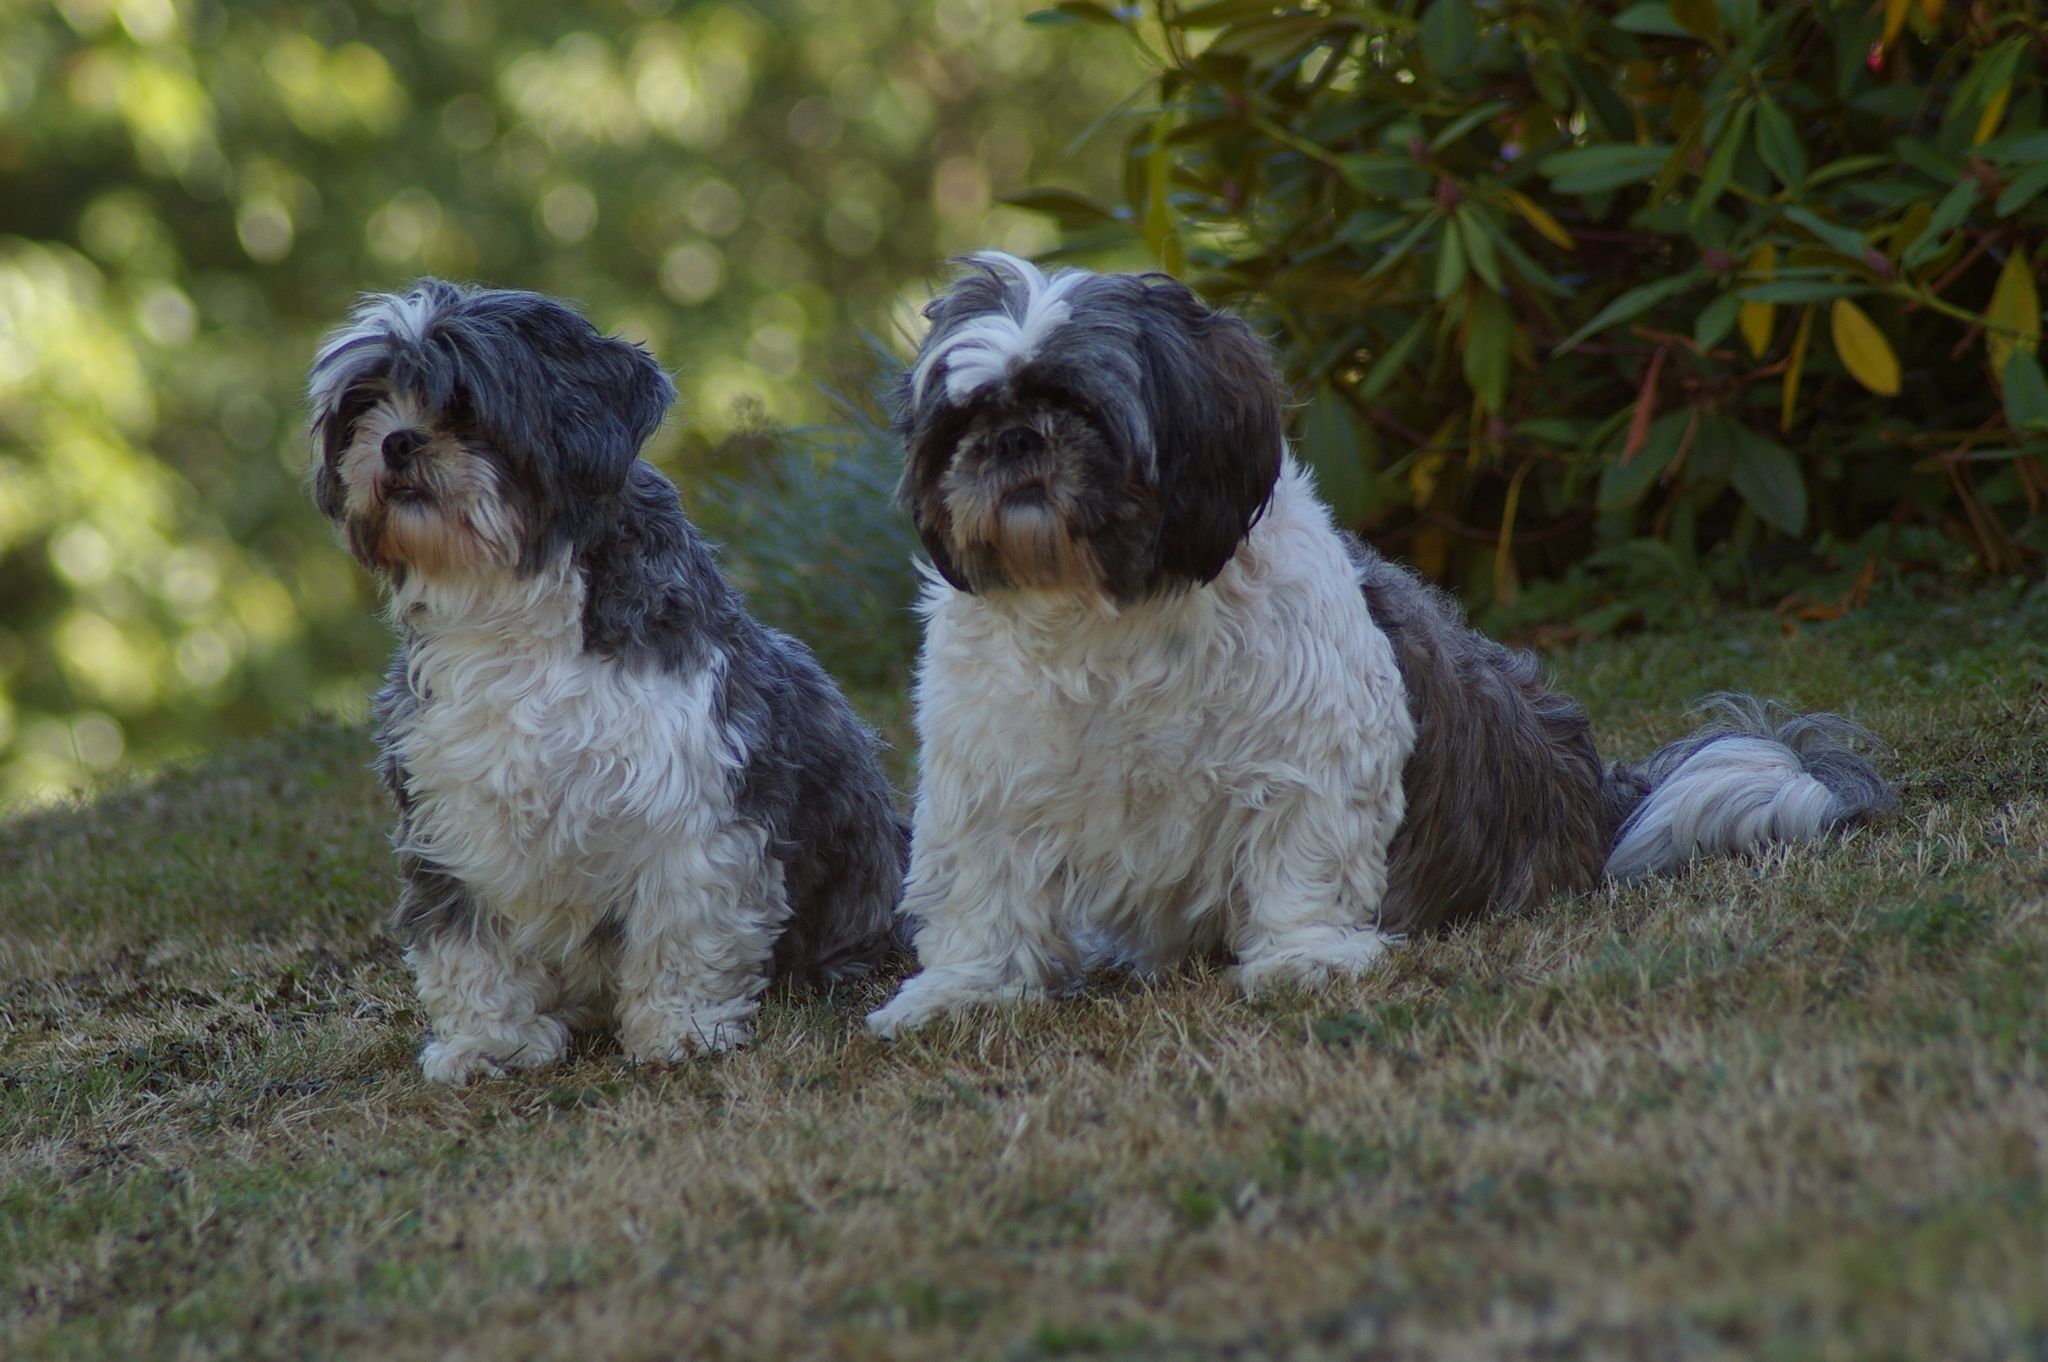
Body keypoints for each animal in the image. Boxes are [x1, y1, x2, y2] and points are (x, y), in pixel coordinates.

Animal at [307, 278, 901, 1081]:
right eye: (365, 405)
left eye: (466, 406)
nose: (399, 440)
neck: (514, 617)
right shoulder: (453, 821)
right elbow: (469, 946)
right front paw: (486, 1043)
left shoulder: (693, 812)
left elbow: (684, 932)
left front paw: (680, 1028)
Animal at [864, 251, 1884, 1032]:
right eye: (963, 419)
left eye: (1079, 409)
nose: (1013, 441)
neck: (1100, 608)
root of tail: (1590, 792)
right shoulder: (985, 781)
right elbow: (981, 892)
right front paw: (961, 992)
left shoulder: (1314, 754)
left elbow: (1302, 859)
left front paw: (1304, 958)